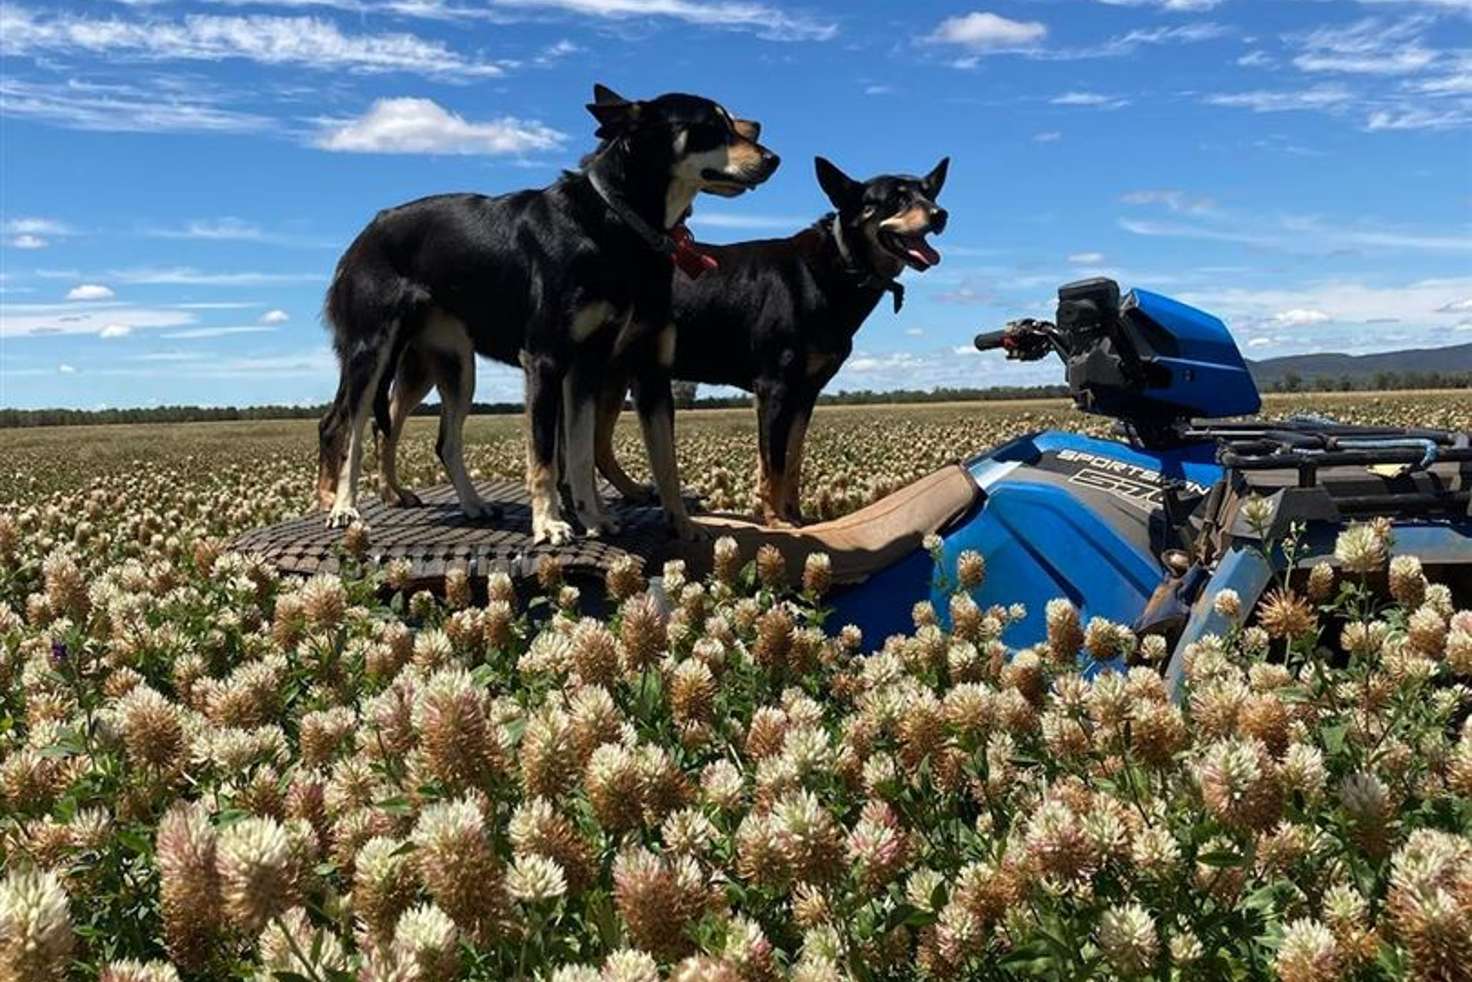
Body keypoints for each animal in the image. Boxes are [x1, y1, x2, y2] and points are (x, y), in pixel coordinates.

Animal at [319, 82, 783, 544]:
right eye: (711, 127)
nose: (773, 159)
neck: (612, 219)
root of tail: (363, 236)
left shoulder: (591, 363)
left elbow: (580, 451)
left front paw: (595, 517)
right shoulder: (546, 359)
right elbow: (544, 454)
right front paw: (549, 523)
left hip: (454, 364)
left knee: (445, 442)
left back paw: (473, 505)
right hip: (372, 353)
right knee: (350, 432)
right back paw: (343, 507)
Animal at [591, 154, 947, 527]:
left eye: (928, 193)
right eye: (896, 198)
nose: (941, 215)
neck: (840, 263)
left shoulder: (805, 393)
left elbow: (792, 459)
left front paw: (796, 515)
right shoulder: (775, 387)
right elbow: (773, 463)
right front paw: (778, 520)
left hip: (614, 377)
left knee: (599, 447)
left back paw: (635, 493)